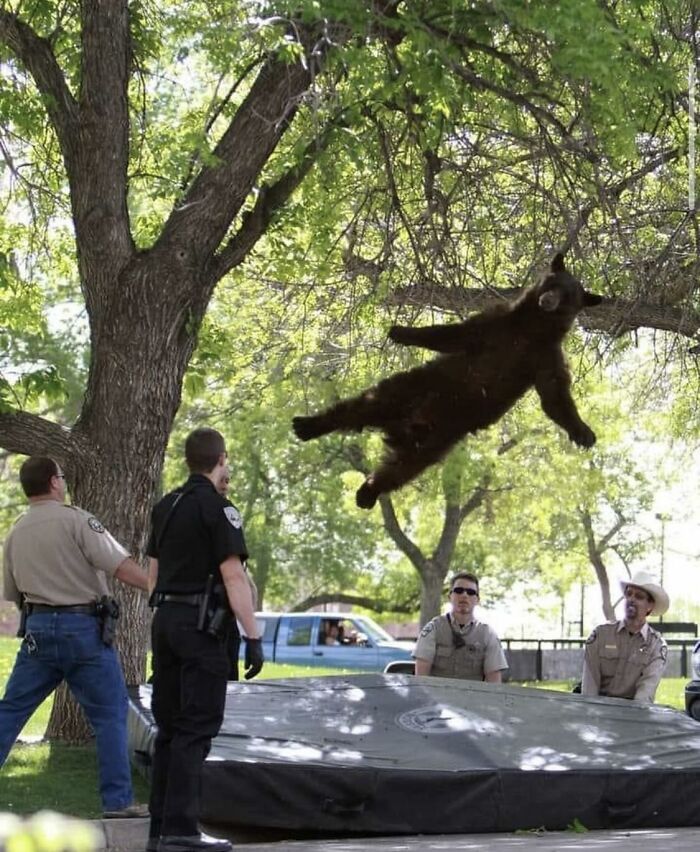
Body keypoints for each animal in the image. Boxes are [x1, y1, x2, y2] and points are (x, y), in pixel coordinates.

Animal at [292, 253, 603, 509]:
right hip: (411, 389)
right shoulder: (496, 324)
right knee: (358, 407)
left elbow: (554, 395)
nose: (548, 299)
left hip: (437, 440)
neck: (532, 328)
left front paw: (583, 432)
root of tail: (403, 426)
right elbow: (453, 334)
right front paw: (401, 331)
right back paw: (309, 425)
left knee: (401, 469)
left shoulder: (545, 356)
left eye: (568, 296)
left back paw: (367, 492)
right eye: (553, 282)